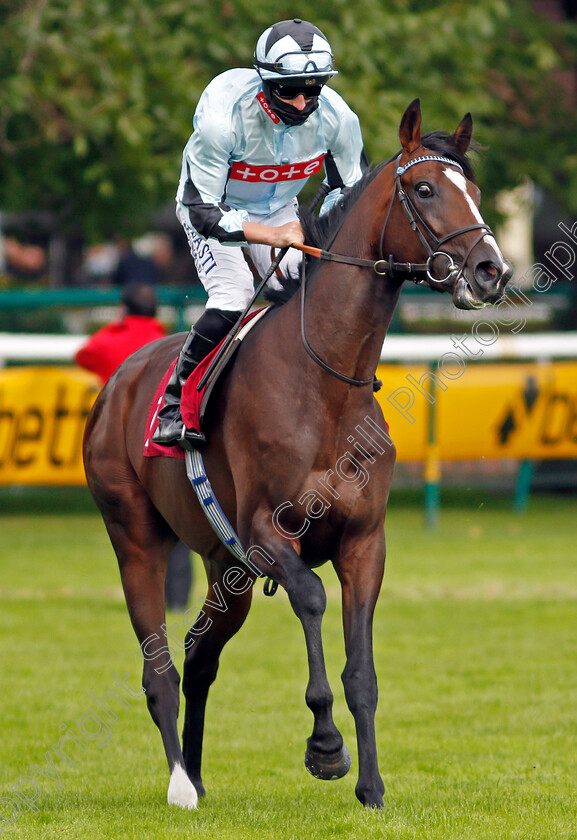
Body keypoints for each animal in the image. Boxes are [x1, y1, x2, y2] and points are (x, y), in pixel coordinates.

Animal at [84, 100, 508, 812]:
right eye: (425, 189)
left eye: (473, 189)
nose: (491, 270)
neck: (328, 382)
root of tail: (117, 383)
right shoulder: (265, 533)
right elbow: (310, 597)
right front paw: (326, 748)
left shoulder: (364, 541)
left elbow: (362, 669)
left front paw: (371, 786)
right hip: (135, 538)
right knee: (159, 666)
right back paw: (180, 784)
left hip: (224, 571)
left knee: (199, 656)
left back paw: (197, 773)